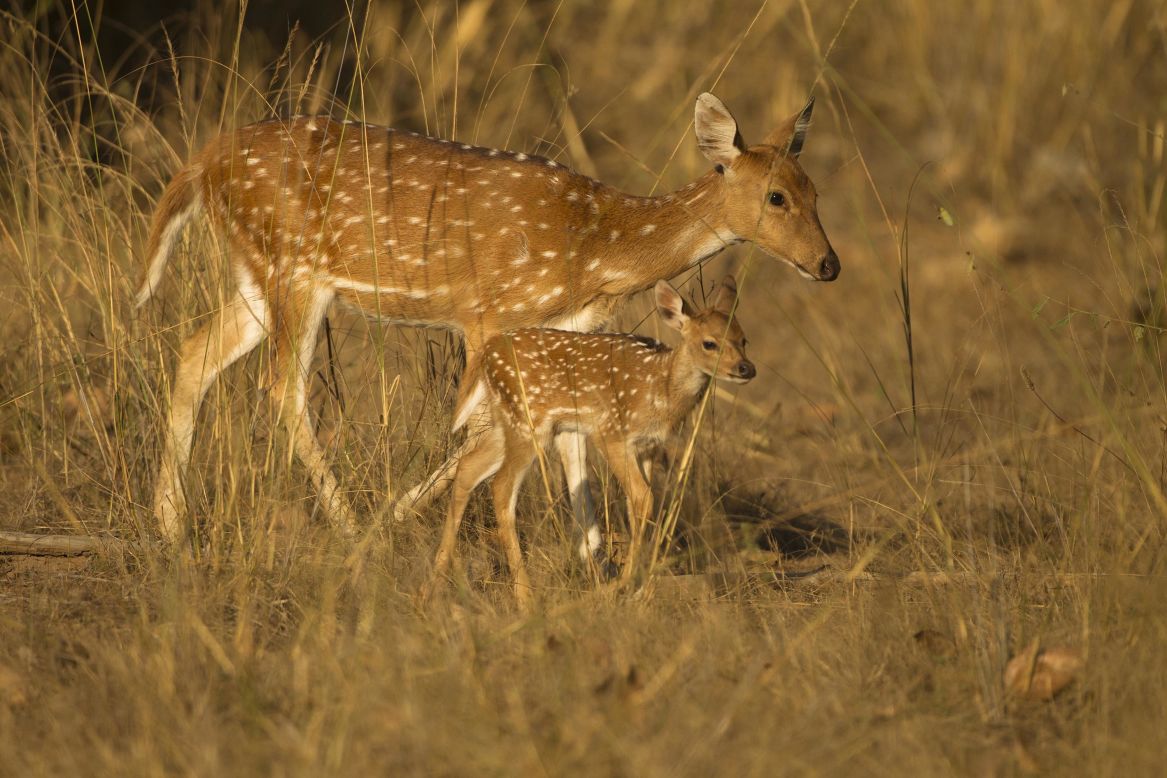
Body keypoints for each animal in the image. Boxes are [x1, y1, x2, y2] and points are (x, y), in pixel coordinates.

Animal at [138, 91, 840, 548]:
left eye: (815, 192)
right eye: (776, 196)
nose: (828, 264)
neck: (598, 250)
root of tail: (202, 162)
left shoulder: (571, 328)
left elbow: (571, 433)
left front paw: (590, 557)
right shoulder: (488, 311)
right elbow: (478, 426)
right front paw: (396, 521)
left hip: (257, 277)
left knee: (195, 351)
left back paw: (169, 523)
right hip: (294, 269)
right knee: (282, 387)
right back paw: (350, 525)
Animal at [434, 275, 751, 606]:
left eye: (743, 340)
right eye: (710, 343)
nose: (746, 369)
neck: (661, 389)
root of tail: (488, 353)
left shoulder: (649, 446)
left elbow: (639, 506)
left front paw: (642, 590)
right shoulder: (610, 432)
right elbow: (643, 498)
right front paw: (621, 585)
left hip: (505, 423)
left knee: (468, 468)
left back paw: (432, 586)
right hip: (527, 423)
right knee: (501, 487)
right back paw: (525, 598)